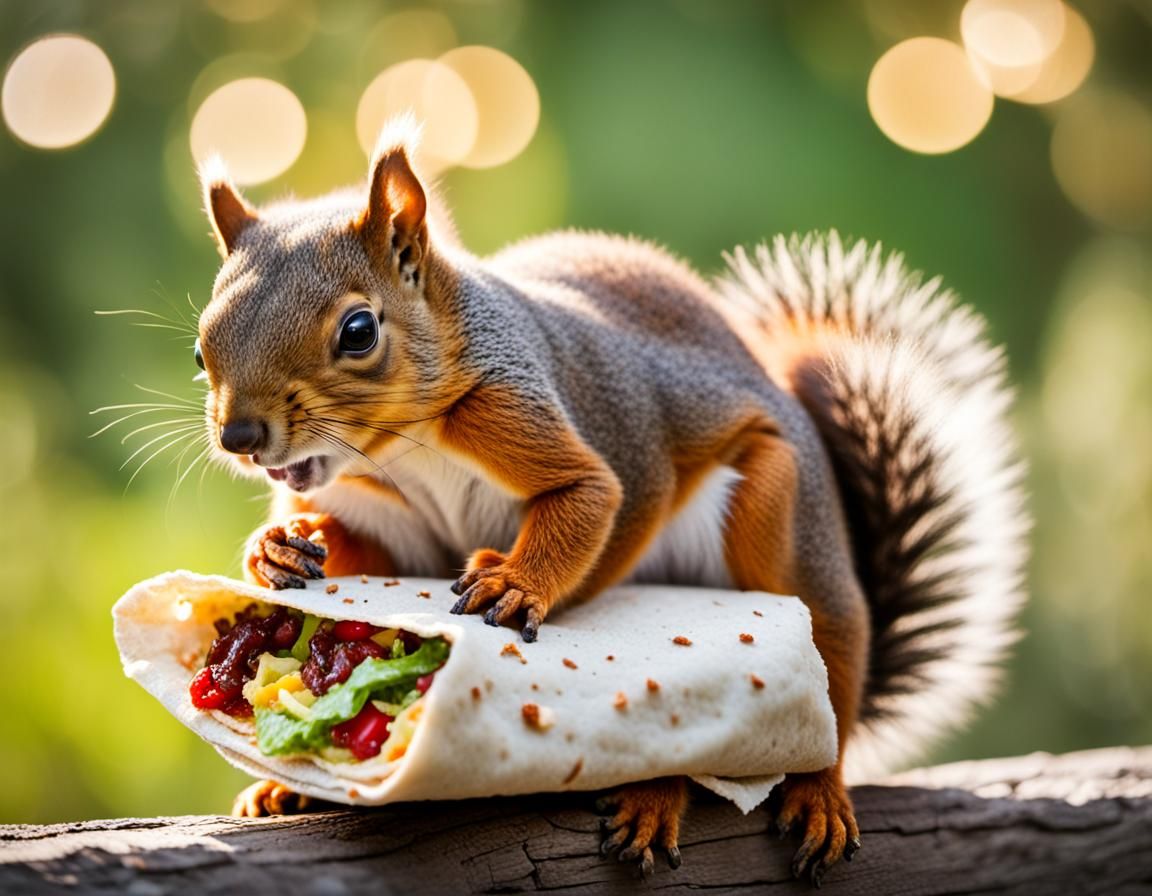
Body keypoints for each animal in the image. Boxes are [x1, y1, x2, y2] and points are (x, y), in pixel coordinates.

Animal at [195, 118, 1027, 884]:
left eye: (359, 331)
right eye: (202, 347)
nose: (241, 435)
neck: (403, 451)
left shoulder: (568, 429)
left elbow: (597, 499)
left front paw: (515, 583)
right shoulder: (382, 516)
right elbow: (357, 551)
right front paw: (275, 550)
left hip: (780, 522)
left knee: (816, 687)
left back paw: (773, 791)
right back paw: (284, 788)